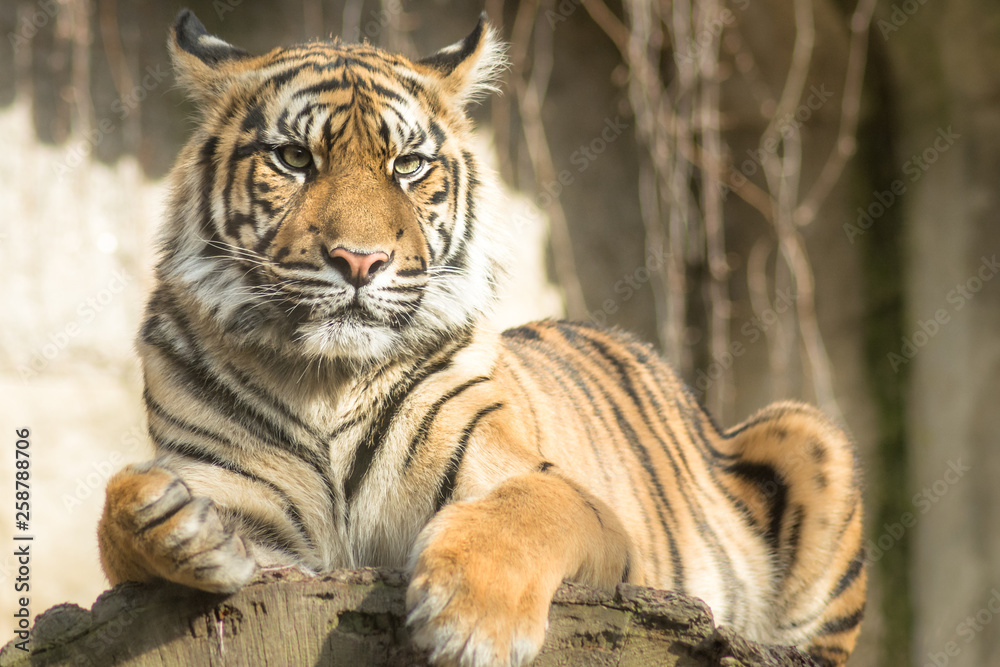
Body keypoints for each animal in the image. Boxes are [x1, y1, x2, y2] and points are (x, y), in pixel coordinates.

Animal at [97, 9, 867, 667]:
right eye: (293, 158)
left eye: (408, 164)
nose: (359, 260)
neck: (327, 379)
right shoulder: (249, 515)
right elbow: (117, 521)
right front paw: (175, 522)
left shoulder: (560, 494)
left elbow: (527, 510)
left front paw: (469, 619)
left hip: (809, 433)